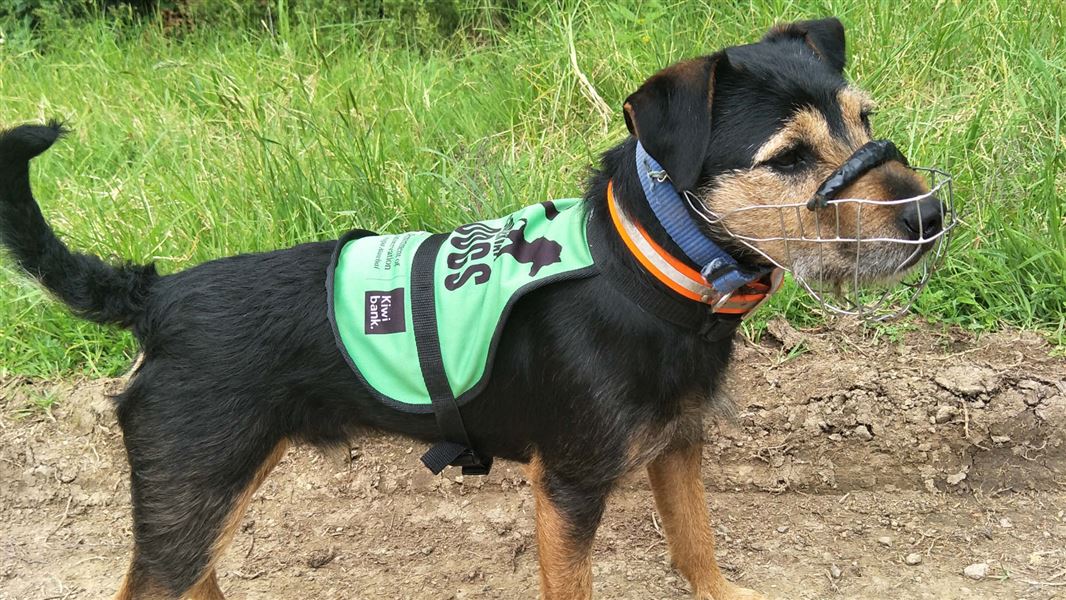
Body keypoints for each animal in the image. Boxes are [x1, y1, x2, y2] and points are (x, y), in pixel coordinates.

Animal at [4, 16, 946, 600]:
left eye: (865, 119)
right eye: (787, 158)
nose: (930, 213)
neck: (652, 269)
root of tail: (154, 295)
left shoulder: (679, 450)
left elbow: (698, 547)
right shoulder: (566, 488)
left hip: (213, 483)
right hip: (193, 482)